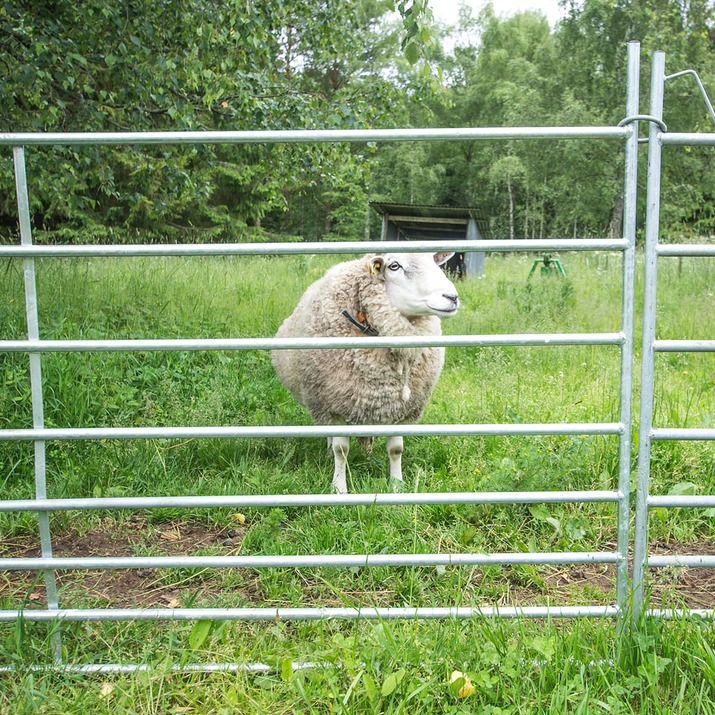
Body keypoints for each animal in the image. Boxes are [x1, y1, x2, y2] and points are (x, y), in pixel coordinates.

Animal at [272, 252, 462, 492]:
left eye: (433, 262)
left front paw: (397, 485)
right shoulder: (334, 406)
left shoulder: (401, 409)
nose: (452, 297)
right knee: (329, 435)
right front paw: (339, 488)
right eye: (394, 266)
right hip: (320, 402)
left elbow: (396, 449)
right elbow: (341, 450)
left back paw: (367, 451)